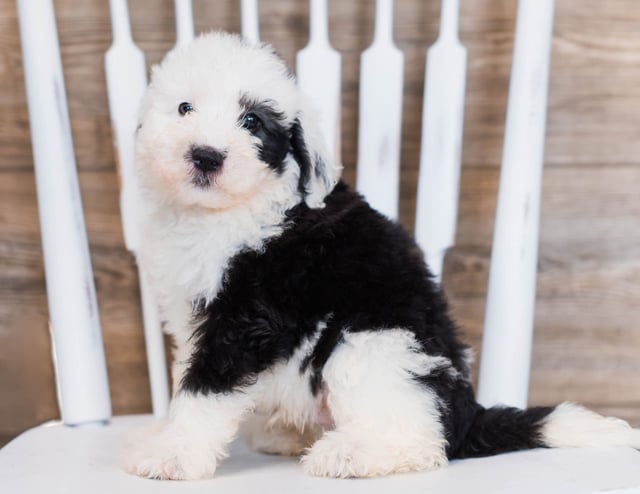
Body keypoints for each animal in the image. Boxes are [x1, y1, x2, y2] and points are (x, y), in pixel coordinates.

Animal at [124, 32, 640, 480]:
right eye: (184, 108)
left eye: (252, 121)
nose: (206, 156)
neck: (220, 215)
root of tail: (469, 412)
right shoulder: (193, 316)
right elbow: (185, 377)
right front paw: (166, 435)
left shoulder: (248, 316)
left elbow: (205, 388)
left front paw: (174, 454)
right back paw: (289, 434)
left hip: (371, 342)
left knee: (421, 439)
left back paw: (350, 453)